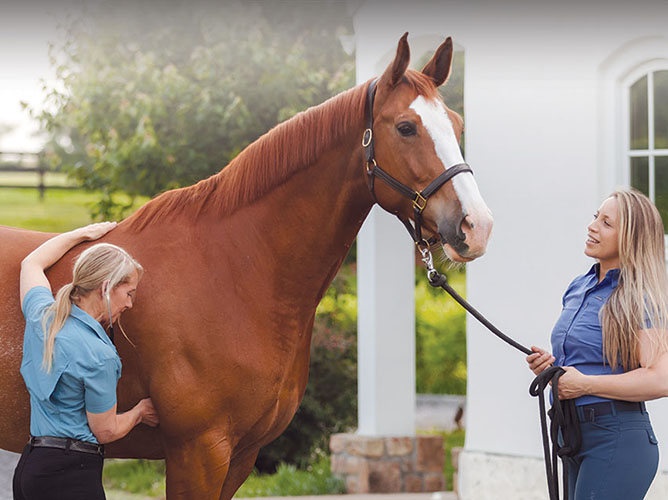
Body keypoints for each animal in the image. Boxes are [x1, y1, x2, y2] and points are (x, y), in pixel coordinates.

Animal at [0, 33, 490, 498]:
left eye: (458, 125)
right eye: (406, 127)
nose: (477, 225)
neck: (232, 270)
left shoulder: (240, 456)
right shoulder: (198, 453)